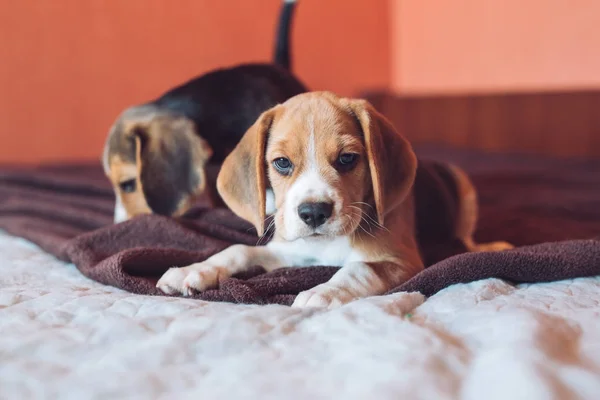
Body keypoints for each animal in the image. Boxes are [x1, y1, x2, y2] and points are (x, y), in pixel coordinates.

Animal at [156, 91, 510, 310]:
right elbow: (237, 250)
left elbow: (357, 269)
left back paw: (489, 246)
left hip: (464, 188)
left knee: (467, 237)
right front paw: (193, 270)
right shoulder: (293, 253)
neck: (327, 244)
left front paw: (323, 291)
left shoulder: (400, 261)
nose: (313, 212)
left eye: (347, 158)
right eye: (281, 163)